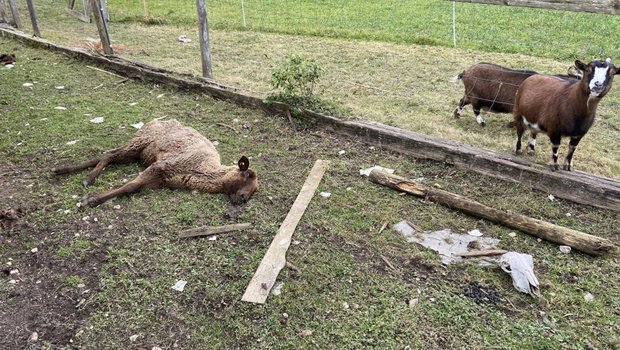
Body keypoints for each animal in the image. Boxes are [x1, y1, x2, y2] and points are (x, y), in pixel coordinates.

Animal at [50, 120, 260, 208]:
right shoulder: (161, 166)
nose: (243, 199)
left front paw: (92, 198)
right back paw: (86, 178)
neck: (201, 169)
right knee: (110, 154)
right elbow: (130, 186)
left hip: (139, 153)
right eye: (246, 174)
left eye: (255, 190)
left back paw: (66, 171)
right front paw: (91, 200)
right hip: (139, 142)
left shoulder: (161, 179)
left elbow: (134, 187)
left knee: (108, 156)